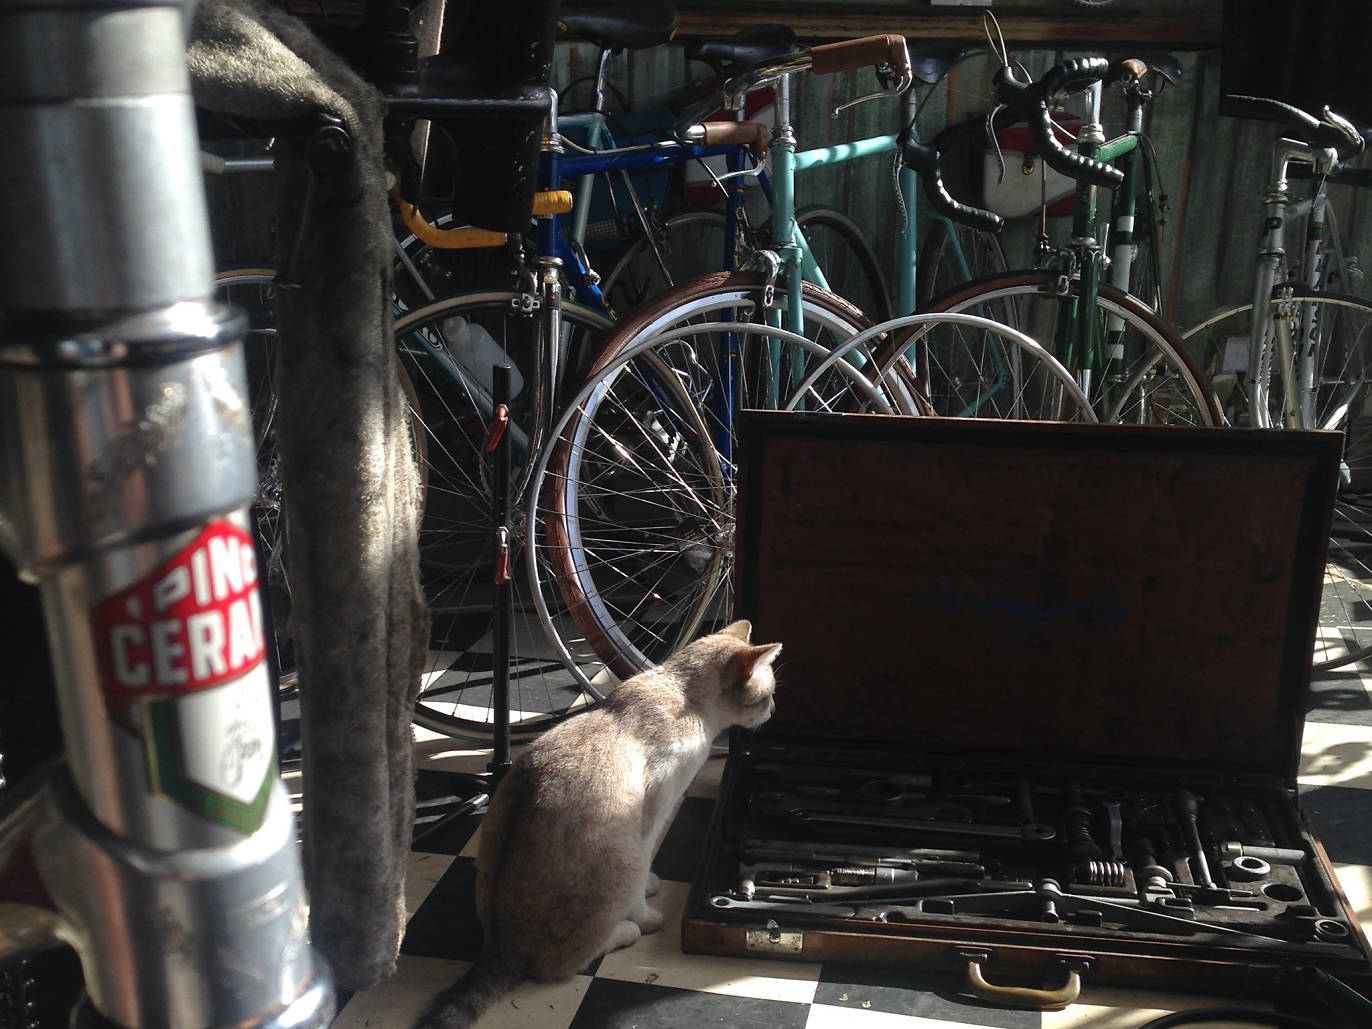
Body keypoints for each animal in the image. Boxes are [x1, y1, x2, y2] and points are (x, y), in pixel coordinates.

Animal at [408, 620, 784, 1029]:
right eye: (767, 697)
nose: (773, 711)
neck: (679, 689)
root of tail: (500, 954)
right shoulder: (651, 821)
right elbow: (642, 881)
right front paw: (648, 908)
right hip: (622, 859)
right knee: (566, 965)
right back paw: (630, 929)